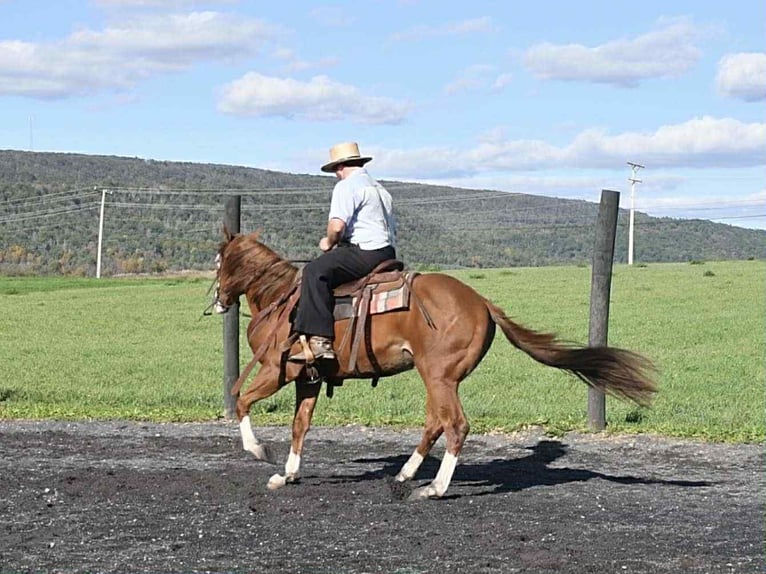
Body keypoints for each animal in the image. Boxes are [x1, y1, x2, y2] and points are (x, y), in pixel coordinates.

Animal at [212, 228, 657, 500]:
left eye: (219, 261)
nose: (217, 300)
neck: (281, 299)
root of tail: (483, 304)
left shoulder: (276, 372)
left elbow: (243, 401)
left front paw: (259, 452)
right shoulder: (308, 378)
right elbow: (299, 425)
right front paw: (286, 474)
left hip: (439, 375)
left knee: (454, 425)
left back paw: (434, 488)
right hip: (439, 378)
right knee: (436, 424)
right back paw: (407, 474)